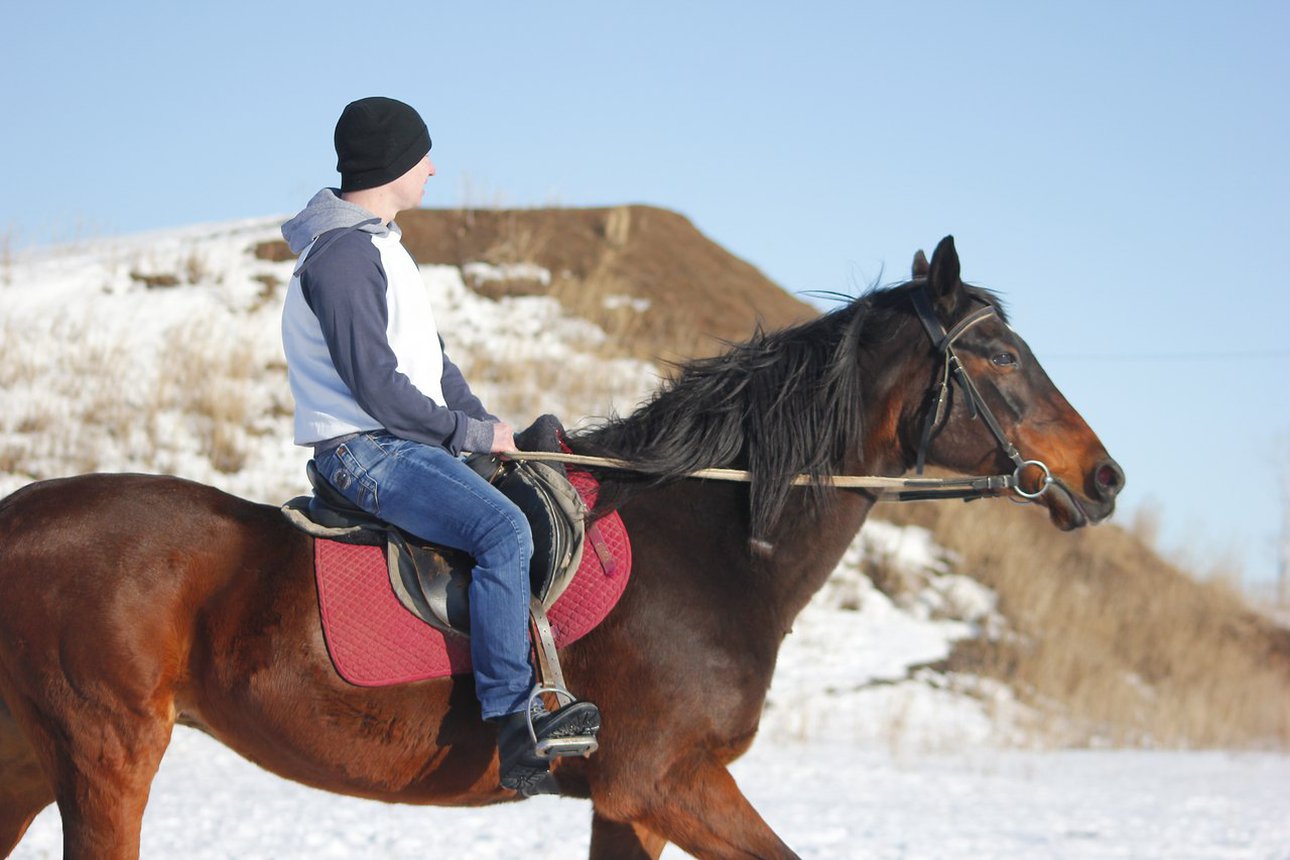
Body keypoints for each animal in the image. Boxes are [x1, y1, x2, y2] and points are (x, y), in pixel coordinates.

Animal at [0, 237, 1119, 860]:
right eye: (999, 354)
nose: (1104, 478)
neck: (712, 546)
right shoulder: (662, 780)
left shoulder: (637, 804)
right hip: (106, 754)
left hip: (32, 756)